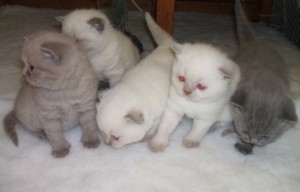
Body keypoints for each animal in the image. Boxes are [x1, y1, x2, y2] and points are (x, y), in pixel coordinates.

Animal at [3, 30, 99, 158]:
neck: (65, 91)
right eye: (23, 63)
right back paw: (42, 134)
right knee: (30, 128)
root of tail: (14, 108)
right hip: (28, 117)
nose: (23, 74)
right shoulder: (49, 116)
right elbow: (55, 135)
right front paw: (60, 149)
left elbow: (89, 126)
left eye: (32, 67)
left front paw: (91, 140)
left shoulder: (86, 107)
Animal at [96, 12, 175, 148]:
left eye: (116, 137)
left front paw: (145, 138)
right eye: (101, 131)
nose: (107, 143)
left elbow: (150, 130)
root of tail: (167, 45)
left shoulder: (157, 118)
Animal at [230, 0, 298, 154]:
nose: (254, 140)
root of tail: (257, 42)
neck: (266, 81)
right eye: (246, 132)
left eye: (265, 137)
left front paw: (247, 146)